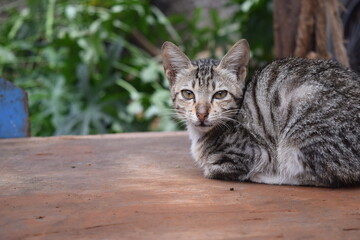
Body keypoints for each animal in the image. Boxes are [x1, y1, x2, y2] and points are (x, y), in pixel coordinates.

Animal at [162, 39, 360, 188]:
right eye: (188, 94)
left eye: (220, 94)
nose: (202, 114)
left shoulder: (253, 154)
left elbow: (212, 169)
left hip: (303, 128)